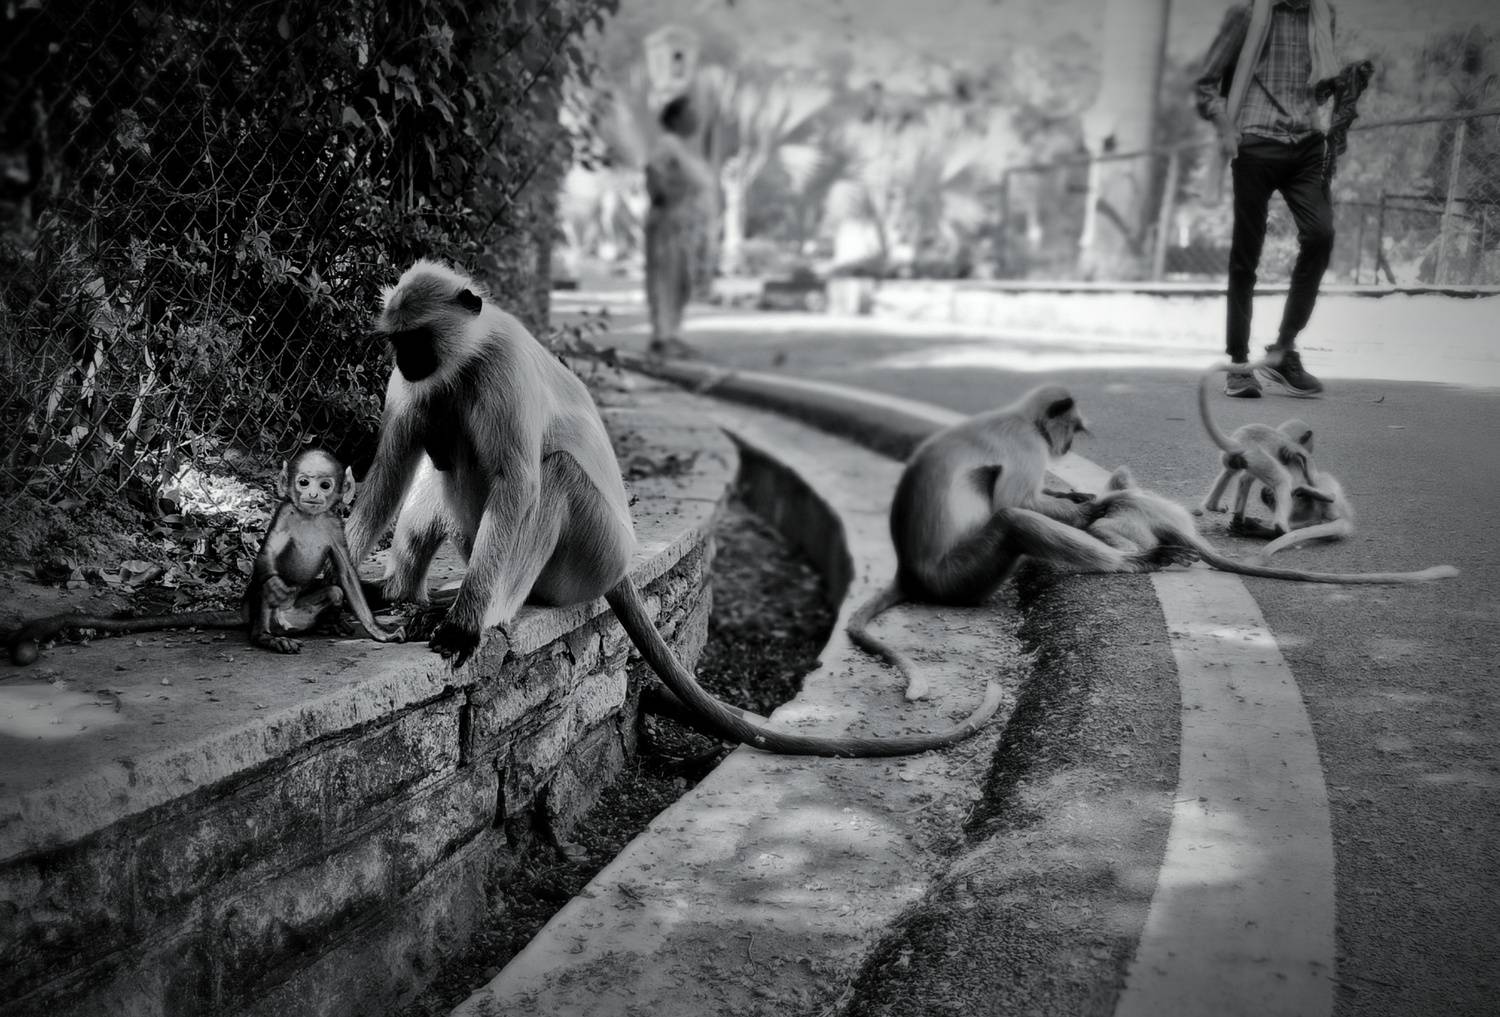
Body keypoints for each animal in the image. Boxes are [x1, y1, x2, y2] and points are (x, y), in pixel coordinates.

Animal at [7, 449, 403, 665]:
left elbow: (346, 575)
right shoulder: (285, 514)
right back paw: (266, 637)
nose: (312, 495)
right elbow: (267, 558)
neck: (309, 517)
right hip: (265, 614)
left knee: (334, 592)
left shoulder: (334, 522)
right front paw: (276, 584)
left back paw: (330, 624)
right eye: (303, 482)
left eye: (325, 485)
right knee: (264, 595)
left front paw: (377, 631)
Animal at [344, 259, 1004, 758]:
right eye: (397, 343)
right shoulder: (422, 384)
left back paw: (488, 612)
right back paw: (399, 592)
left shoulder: (499, 368)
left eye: (416, 340)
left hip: (588, 554)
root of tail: (622, 564)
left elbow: (518, 483)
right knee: (437, 454)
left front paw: (467, 622)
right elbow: (392, 467)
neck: (467, 355)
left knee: (547, 473)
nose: (406, 362)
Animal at [846, 387, 1199, 701]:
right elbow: (1015, 501)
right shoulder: (1027, 445)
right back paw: (1137, 560)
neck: (1022, 418)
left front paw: (1076, 497)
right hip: (957, 579)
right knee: (1012, 519)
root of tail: (908, 572)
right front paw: (1092, 508)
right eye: (1073, 428)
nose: (1068, 445)